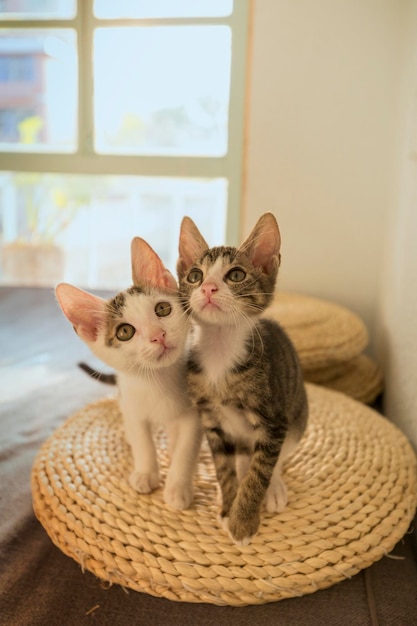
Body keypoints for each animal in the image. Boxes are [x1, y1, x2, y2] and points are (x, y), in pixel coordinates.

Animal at [55, 234, 202, 508]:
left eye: (163, 309)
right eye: (125, 332)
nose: (158, 336)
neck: (158, 382)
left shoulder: (195, 412)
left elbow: (186, 448)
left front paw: (178, 486)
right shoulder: (132, 407)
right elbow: (143, 441)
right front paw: (146, 472)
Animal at [176, 211, 306, 540]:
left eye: (235, 275)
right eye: (195, 276)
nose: (208, 288)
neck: (219, 355)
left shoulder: (274, 421)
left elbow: (261, 472)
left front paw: (243, 522)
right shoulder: (210, 420)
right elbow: (223, 467)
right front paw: (228, 504)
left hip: (297, 415)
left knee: (275, 458)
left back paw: (273, 488)